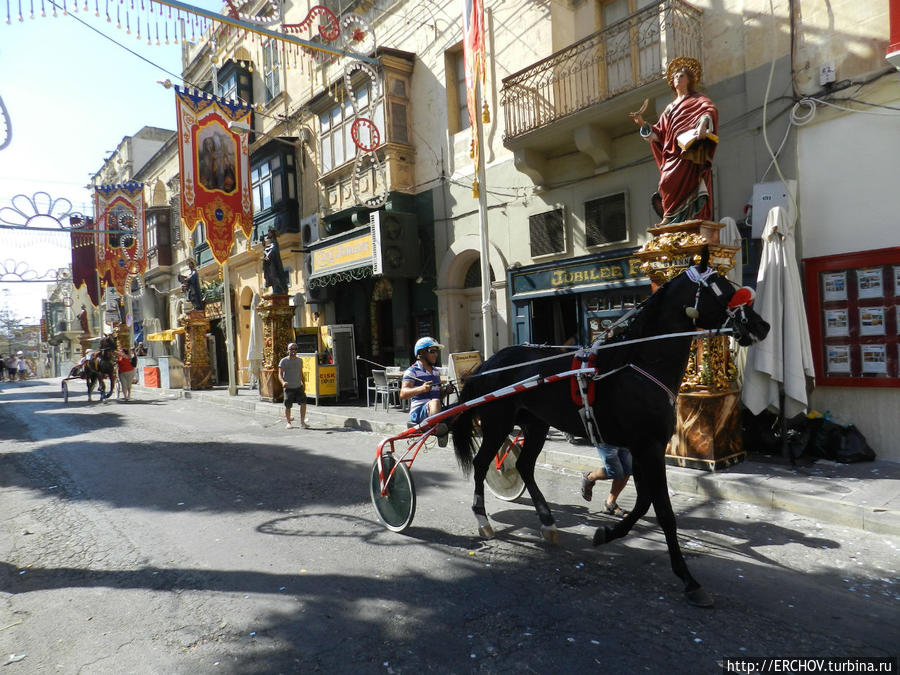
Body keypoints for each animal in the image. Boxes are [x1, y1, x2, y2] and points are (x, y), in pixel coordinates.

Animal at [448, 258, 768, 608]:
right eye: (720, 289)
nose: (761, 325)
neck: (638, 363)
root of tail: (489, 362)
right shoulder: (649, 447)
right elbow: (664, 511)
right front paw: (688, 578)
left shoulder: (641, 448)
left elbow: (643, 502)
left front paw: (607, 534)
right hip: (498, 424)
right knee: (481, 465)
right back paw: (483, 520)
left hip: (536, 424)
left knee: (524, 466)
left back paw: (547, 522)